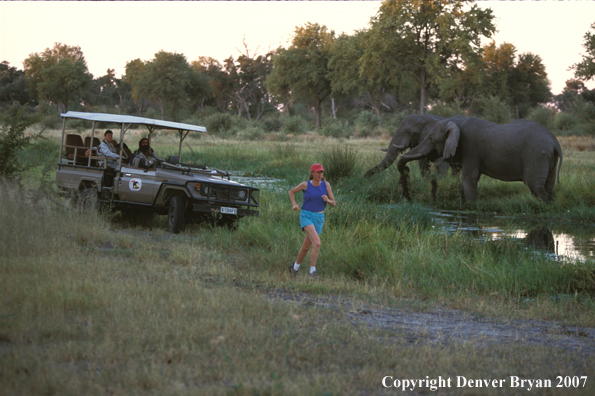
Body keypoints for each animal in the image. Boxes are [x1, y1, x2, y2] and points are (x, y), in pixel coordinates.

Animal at [400, 116, 564, 203]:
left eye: (431, 138)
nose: (406, 171)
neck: (456, 122)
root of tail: (555, 142)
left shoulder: (470, 149)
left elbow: (469, 178)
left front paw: (470, 206)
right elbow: (468, 179)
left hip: (536, 155)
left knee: (535, 185)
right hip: (548, 158)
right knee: (548, 184)